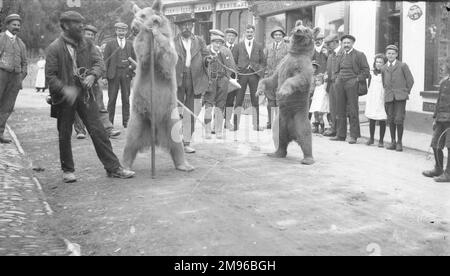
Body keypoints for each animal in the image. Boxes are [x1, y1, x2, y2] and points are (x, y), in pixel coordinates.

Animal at [122, 0, 194, 172]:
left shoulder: (168, 50)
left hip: (171, 117)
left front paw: (155, 25)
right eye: (135, 15)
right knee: (130, 142)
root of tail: (154, 136)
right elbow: (142, 52)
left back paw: (185, 165)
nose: (133, 27)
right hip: (138, 117)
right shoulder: (141, 54)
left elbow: (168, 57)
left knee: (177, 143)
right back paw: (125, 167)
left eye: (142, 15)